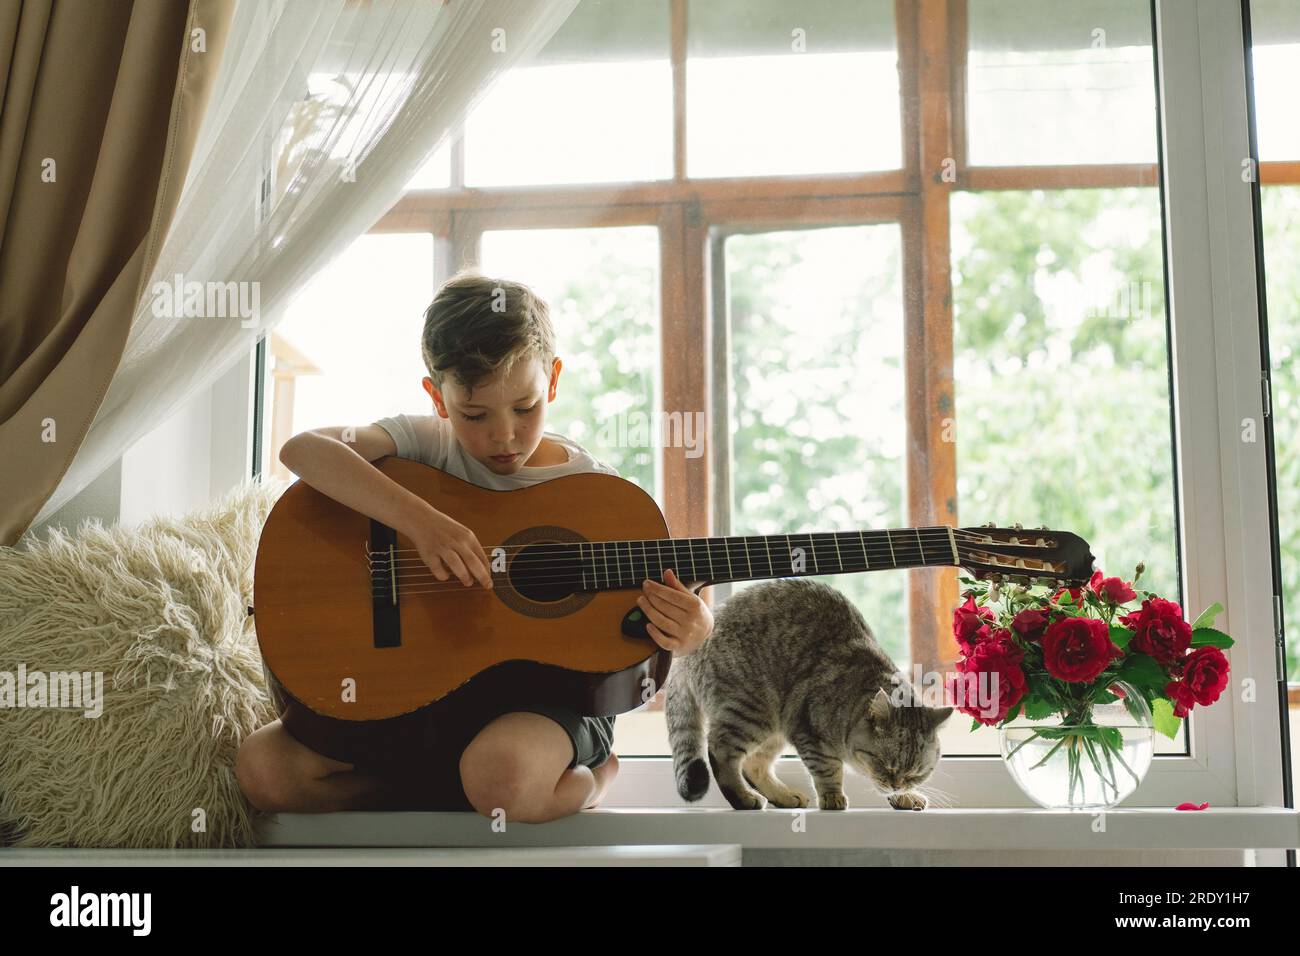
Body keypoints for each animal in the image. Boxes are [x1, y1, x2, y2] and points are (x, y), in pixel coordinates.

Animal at [665, 580, 951, 811]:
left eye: (915, 774)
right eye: (885, 765)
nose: (896, 784)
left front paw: (906, 796)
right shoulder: (809, 730)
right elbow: (828, 769)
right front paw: (833, 796)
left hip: (774, 725)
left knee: (753, 764)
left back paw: (783, 796)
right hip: (752, 709)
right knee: (720, 751)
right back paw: (744, 799)